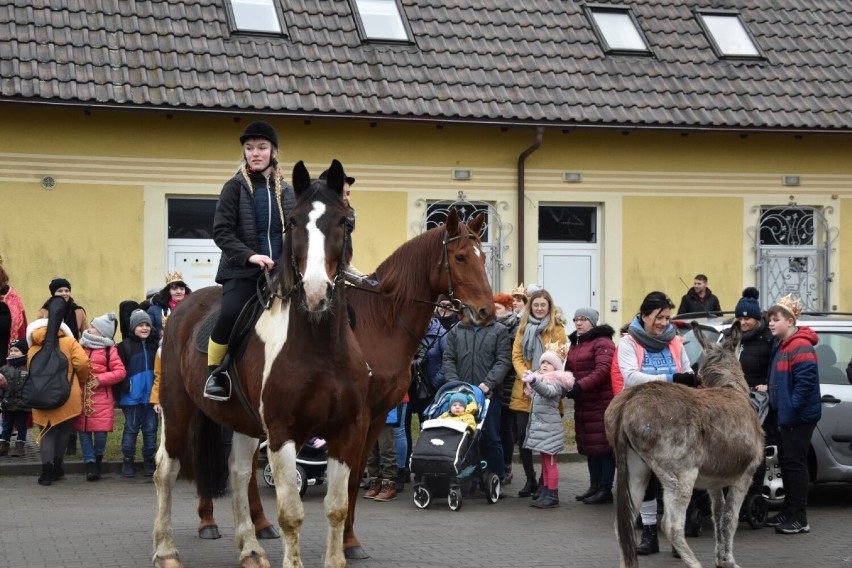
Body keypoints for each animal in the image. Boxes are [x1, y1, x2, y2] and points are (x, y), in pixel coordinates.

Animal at [151, 161, 372, 568]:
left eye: (344, 221)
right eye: (294, 222)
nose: (315, 293)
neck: (320, 348)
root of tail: (179, 310)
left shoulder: (347, 430)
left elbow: (336, 507)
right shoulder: (283, 433)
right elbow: (291, 513)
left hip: (244, 422)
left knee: (239, 473)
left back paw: (251, 550)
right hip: (176, 409)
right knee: (166, 471)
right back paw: (165, 551)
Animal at [189, 207, 490, 560]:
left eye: (483, 256)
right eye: (460, 257)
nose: (487, 310)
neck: (381, 322)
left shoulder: (374, 416)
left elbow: (355, 475)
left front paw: (349, 540)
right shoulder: (356, 416)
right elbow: (347, 478)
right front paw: (347, 542)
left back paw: (260, 525)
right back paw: (209, 521)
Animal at [604, 320, 764, 568]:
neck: (731, 387)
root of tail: (628, 402)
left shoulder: (715, 481)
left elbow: (718, 514)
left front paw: (721, 559)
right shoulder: (745, 474)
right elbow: (731, 518)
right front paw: (729, 561)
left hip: (634, 468)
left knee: (624, 523)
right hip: (680, 473)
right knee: (670, 525)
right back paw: (695, 563)